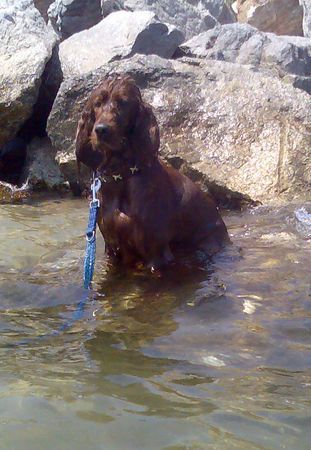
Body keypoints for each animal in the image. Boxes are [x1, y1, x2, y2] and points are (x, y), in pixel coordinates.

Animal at [76, 76, 229, 270]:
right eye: (97, 103)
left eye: (123, 103)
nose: (101, 129)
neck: (122, 174)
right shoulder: (112, 249)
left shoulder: (155, 252)